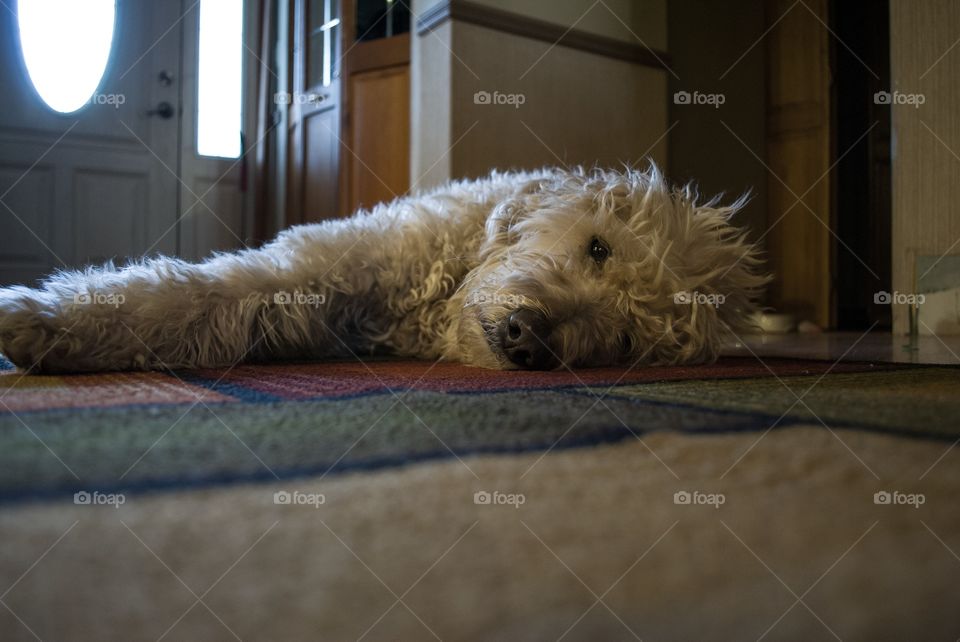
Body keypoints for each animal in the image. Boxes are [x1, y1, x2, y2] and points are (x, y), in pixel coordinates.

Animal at [0, 165, 768, 372]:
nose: (529, 336)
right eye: (599, 246)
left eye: (630, 337)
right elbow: (189, 292)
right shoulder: (311, 265)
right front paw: (45, 318)